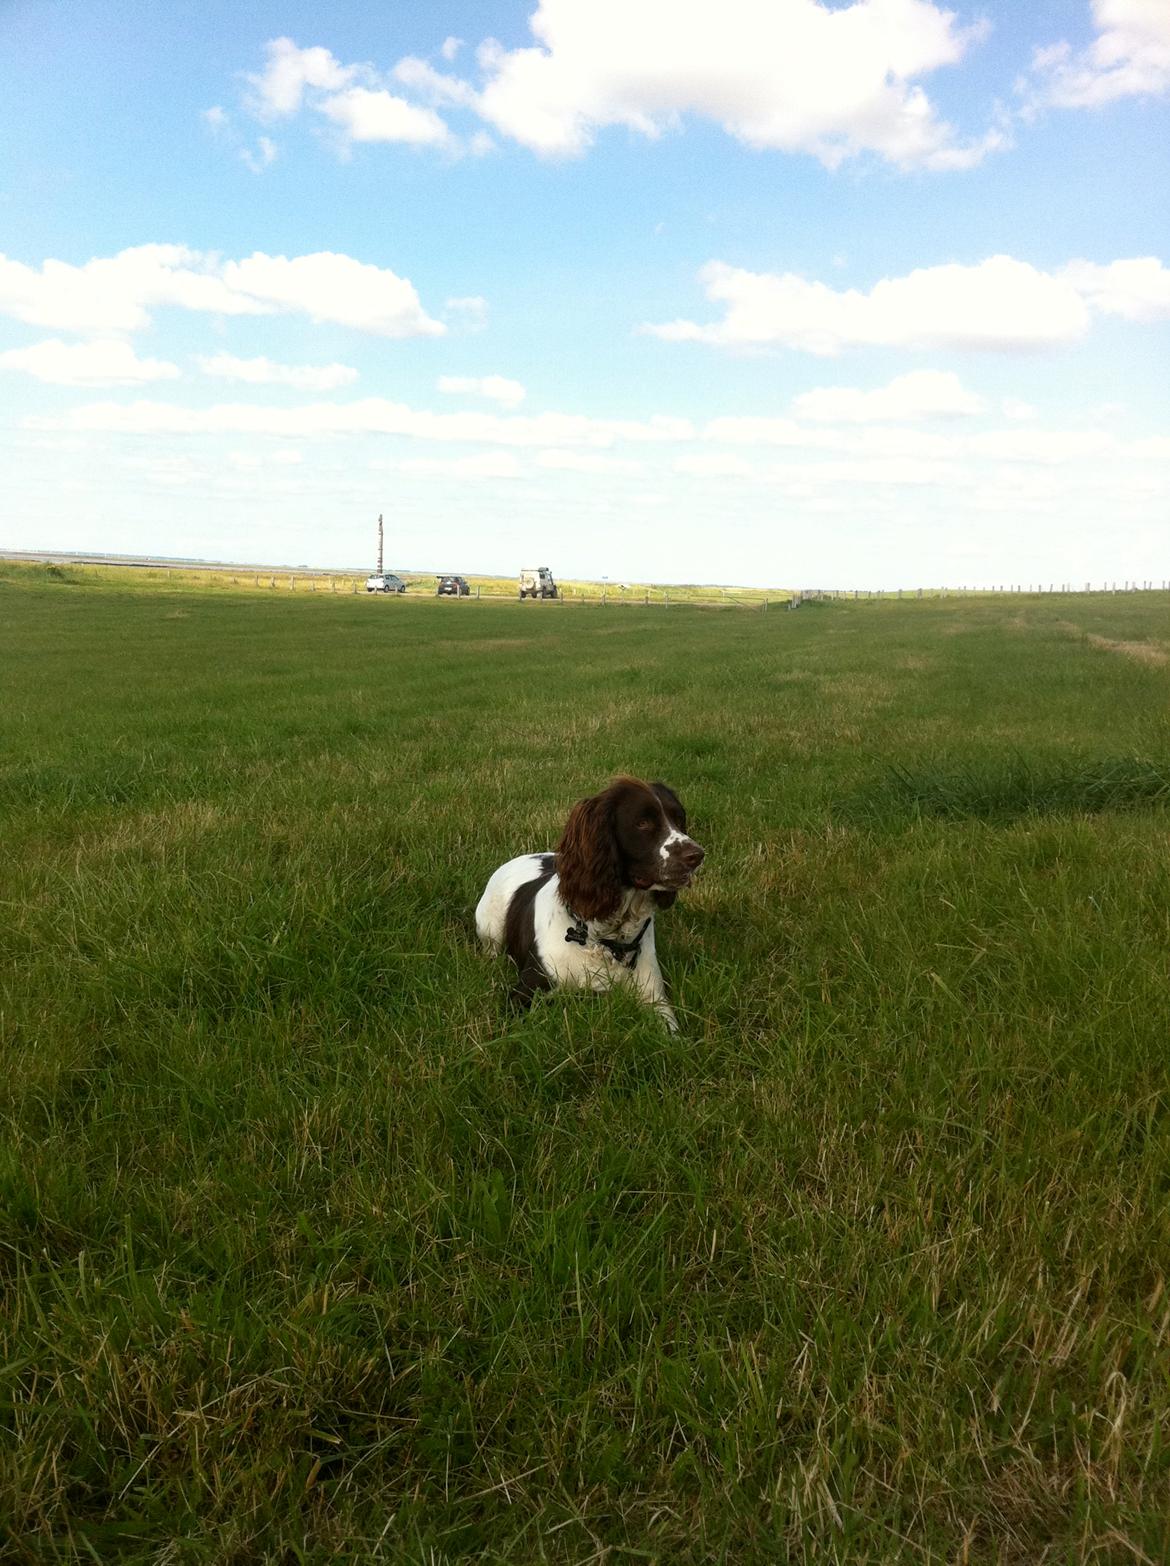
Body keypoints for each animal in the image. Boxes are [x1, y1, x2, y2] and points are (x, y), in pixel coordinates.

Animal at [476, 773, 704, 1027]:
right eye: (643, 823)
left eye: (679, 819)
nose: (697, 856)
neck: (605, 938)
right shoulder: (526, 991)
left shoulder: (654, 997)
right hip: (490, 927)